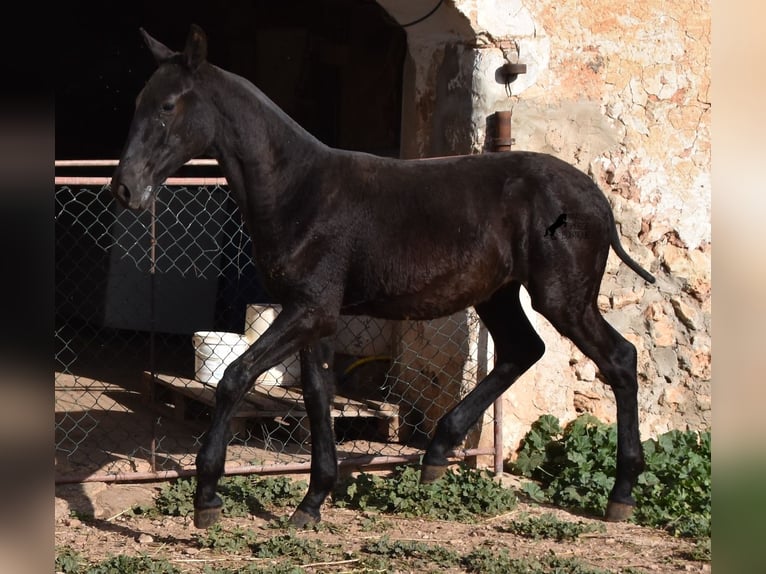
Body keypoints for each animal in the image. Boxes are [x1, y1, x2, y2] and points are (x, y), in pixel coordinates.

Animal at [111, 25, 656, 532]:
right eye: (138, 103)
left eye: (167, 105)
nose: (125, 188)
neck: (298, 190)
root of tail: (596, 198)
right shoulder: (315, 316)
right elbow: (317, 399)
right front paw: (312, 502)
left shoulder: (309, 310)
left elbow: (235, 378)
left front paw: (207, 498)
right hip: (497, 295)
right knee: (524, 350)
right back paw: (437, 454)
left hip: (563, 298)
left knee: (619, 359)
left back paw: (622, 494)